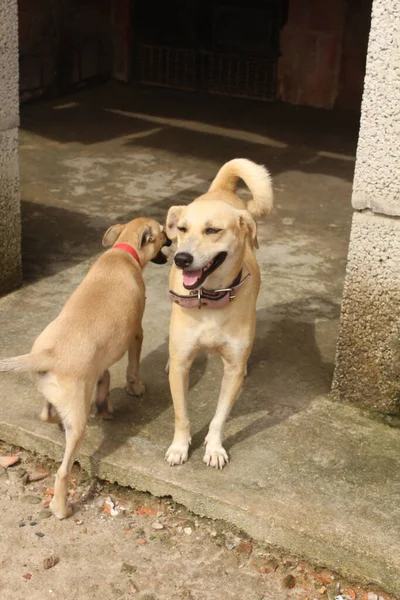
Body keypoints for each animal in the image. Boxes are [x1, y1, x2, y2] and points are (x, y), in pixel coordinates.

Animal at [0, 218, 170, 516]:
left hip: (57, 396)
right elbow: (133, 366)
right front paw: (135, 387)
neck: (123, 251)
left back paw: (58, 421)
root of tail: (45, 355)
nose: (172, 239)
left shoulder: (99, 363)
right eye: (162, 232)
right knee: (62, 472)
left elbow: (105, 376)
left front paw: (106, 405)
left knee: (46, 414)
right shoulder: (137, 333)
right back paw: (61, 509)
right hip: (78, 421)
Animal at [165, 158, 272, 468]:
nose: (181, 259)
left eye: (213, 230)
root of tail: (220, 190)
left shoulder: (232, 369)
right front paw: (179, 447)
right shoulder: (182, 365)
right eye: (182, 229)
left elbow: (220, 417)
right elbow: (181, 414)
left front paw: (213, 448)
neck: (209, 298)